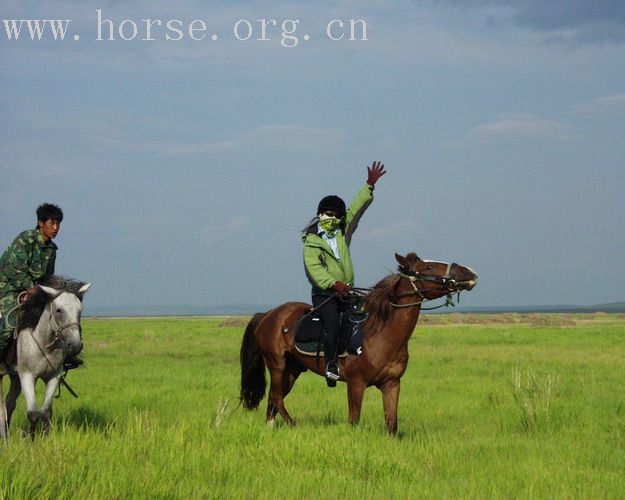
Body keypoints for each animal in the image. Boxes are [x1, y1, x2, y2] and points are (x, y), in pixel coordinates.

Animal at [0, 280, 91, 440]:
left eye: (80, 309)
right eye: (59, 310)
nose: (76, 345)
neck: (44, 343)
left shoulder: (53, 376)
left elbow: (46, 411)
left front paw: (46, 439)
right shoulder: (27, 376)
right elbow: (33, 413)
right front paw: (30, 440)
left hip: (15, 376)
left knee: (9, 403)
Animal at [239, 252, 478, 436]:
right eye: (428, 266)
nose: (469, 273)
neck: (380, 333)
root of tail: (268, 314)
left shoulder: (392, 384)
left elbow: (391, 424)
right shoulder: (356, 384)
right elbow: (354, 420)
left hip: (292, 369)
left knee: (273, 399)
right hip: (276, 364)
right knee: (277, 397)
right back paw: (294, 425)